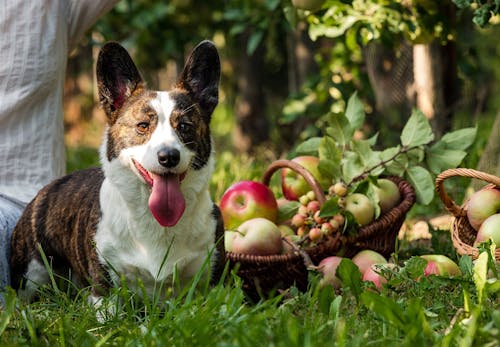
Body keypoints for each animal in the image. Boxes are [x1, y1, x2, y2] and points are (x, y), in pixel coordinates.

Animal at [9, 40, 225, 308]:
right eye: (143, 126)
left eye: (184, 126)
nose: (168, 157)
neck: (155, 220)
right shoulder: (105, 291)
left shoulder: (211, 285)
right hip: (31, 273)